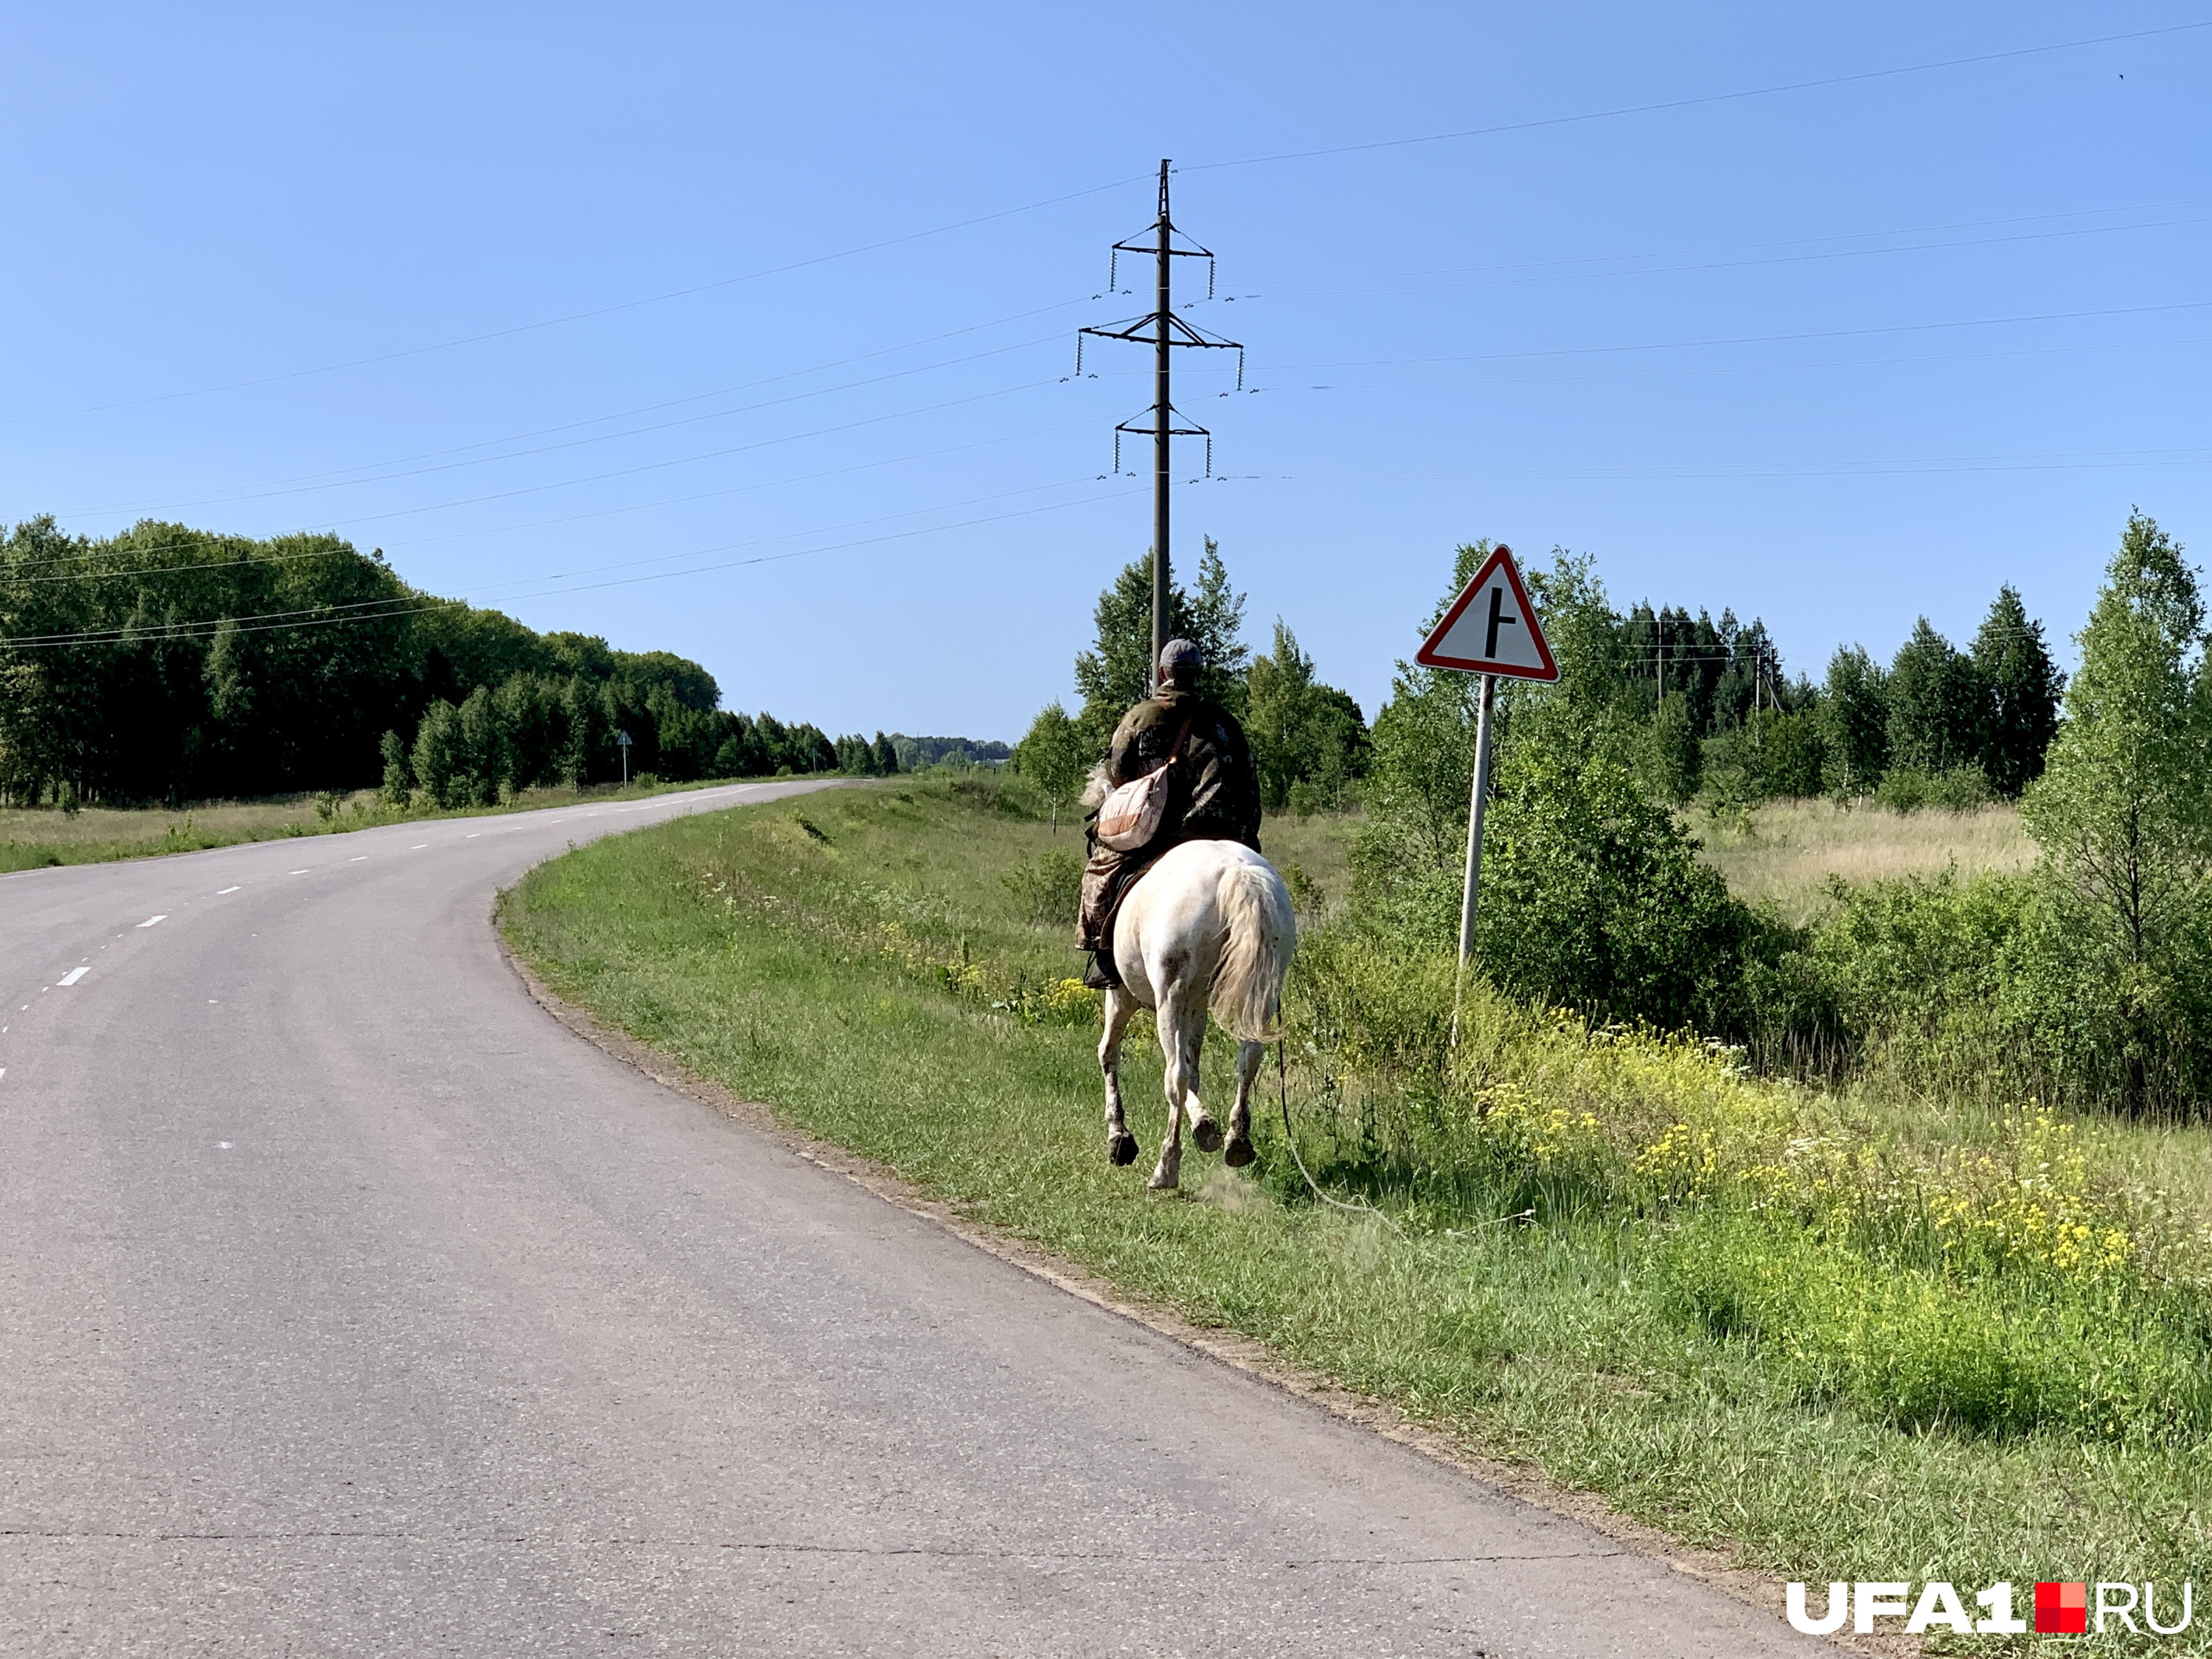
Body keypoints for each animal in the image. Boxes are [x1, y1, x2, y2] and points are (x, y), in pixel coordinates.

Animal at [1102, 845, 1292, 1194]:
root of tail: (1237, 873)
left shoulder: (1122, 995)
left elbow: (1110, 1054)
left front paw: (1119, 1138)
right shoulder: (1197, 1007)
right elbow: (1194, 1070)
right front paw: (1205, 1126)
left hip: (1169, 996)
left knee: (1173, 1075)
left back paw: (1166, 1167)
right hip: (1261, 993)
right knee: (1249, 1058)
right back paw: (1237, 1141)